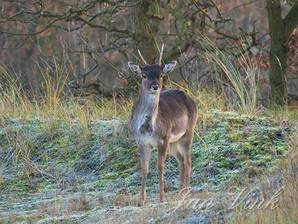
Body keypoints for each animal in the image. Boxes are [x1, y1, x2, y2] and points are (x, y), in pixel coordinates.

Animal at [127, 50, 198, 205]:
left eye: (161, 74)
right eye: (144, 75)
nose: (155, 86)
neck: (149, 128)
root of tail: (190, 98)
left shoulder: (163, 139)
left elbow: (160, 166)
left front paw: (161, 197)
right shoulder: (141, 142)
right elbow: (144, 168)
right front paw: (141, 201)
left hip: (188, 131)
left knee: (188, 160)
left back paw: (187, 192)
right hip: (174, 142)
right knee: (181, 161)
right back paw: (181, 192)